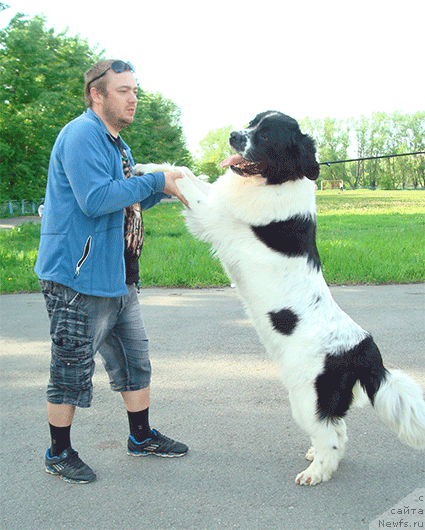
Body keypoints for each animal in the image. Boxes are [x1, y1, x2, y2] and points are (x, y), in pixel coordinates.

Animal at [134, 110, 424, 482]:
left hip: (307, 395)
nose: (232, 135)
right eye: (251, 121)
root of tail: (363, 349)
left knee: (331, 435)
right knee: (339, 429)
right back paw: (315, 457)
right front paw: (145, 166)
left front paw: (157, 173)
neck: (275, 181)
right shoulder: (218, 197)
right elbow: (186, 172)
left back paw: (316, 473)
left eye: (267, 136)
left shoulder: (212, 214)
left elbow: (185, 182)